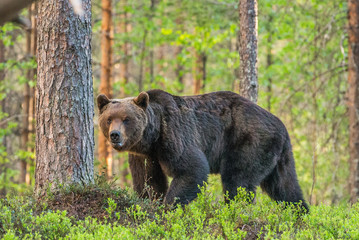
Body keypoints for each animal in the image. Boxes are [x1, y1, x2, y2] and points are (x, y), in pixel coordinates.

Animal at [97, 89, 310, 212]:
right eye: (109, 119)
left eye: (126, 119)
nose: (115, 135)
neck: (152, 137)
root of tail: (281, 125)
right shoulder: (144, 155)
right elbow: (148, 180)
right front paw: (149, 201)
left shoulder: (175, 135)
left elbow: (192, 168)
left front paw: (168, 206)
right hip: (278, 155)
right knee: (285, 186)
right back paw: (300, 213)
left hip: (249, 142)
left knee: (237, 181)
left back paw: (234, 210)